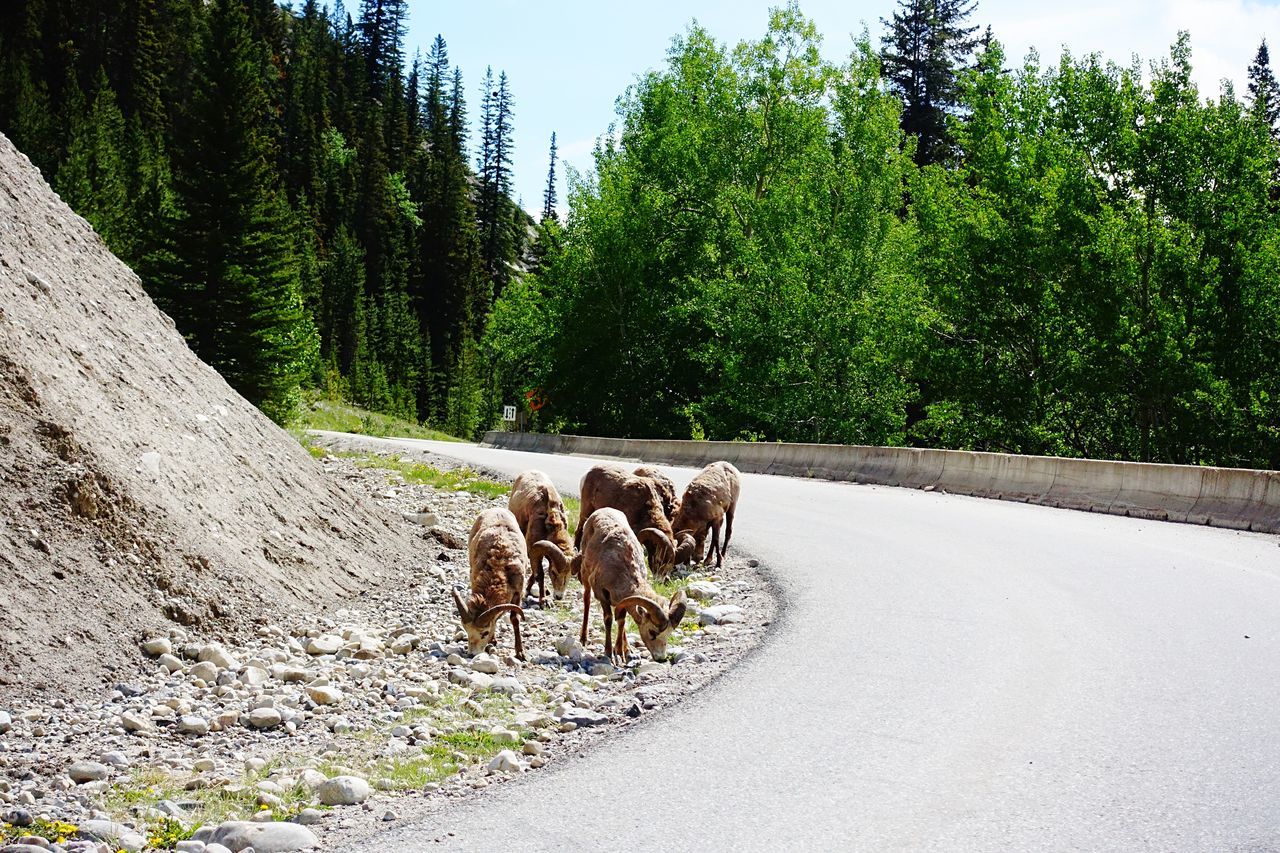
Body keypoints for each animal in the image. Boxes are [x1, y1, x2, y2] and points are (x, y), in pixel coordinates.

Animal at [453, 504, 527, 655]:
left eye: (484, 633)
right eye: (467, 630)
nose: (472, 654)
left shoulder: (518, 592)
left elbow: (514, 619)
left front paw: (520, 653)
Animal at [506, 471, 573, 604]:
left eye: (569, 575)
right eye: (553, 572)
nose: (559, 596)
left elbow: (535, 572)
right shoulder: (533, 549)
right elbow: (540, 574)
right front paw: (544, 601)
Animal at [573, 507, 686, 660]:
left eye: (669, 634)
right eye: (652, 632)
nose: (661, 659)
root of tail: (602, 510)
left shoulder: (622, 601)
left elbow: (621, 621)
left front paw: (621, 652)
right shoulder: (602, 594)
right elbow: (608, 619)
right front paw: (609, 653)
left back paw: (627, 650)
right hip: (585, 576)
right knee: (586, 600)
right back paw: (583, 639)